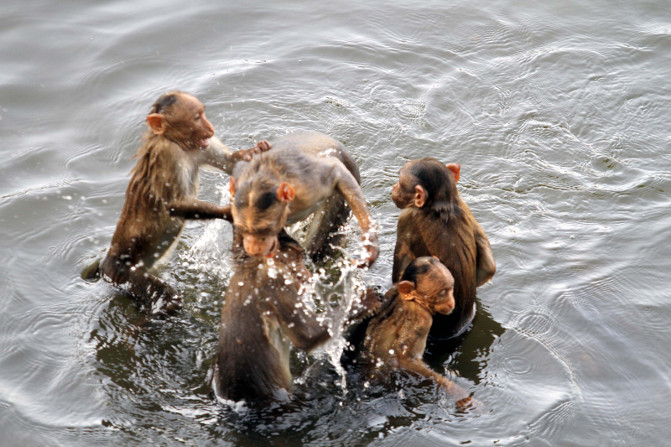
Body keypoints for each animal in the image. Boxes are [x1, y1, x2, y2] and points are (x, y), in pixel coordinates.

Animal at [84, 93, 270, 314]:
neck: (178, 144)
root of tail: (106, 265)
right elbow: (174, 205)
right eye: (197, 117)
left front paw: (257, 149)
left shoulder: (200, 148)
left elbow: (230, 163)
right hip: (126, 275)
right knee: (164, 296)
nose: (210, 128)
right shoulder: (168, 156)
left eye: (202, 113)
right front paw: (229, 211)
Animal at [230, 130, 378, 270]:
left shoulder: (308, 184)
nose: (252, 249)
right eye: (243, 229)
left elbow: (337, 171)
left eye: (265, 229)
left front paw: (370, 244)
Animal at [342, 258, 472, 408]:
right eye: (442, 292)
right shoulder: (423, 320)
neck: (414, 301)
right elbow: (404, 359)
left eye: (451, 288)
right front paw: (456, 392)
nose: (452, 303)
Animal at [392, 160, 496, 340]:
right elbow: (490, 267)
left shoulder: (407, 216)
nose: (393, 187)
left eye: (400, 182)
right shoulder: (464, 205)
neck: (442, 205)